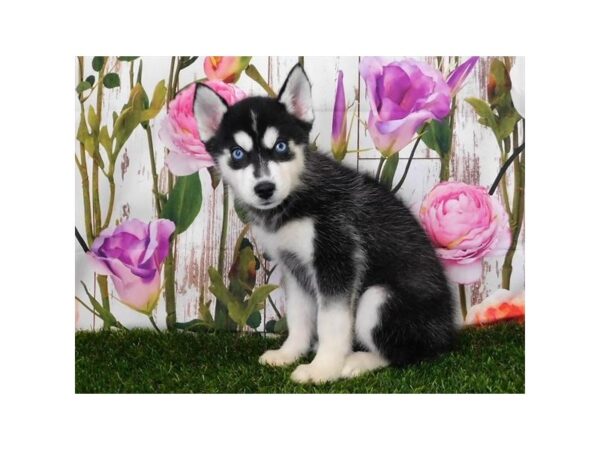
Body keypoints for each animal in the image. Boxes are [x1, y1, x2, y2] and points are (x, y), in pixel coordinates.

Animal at [195, 65, 458, 384]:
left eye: (281, 146)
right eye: (237, 153)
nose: (265, 189)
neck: (295, 199)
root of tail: (447, 333)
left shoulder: (337, 257)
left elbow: (331, 322)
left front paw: (323, 368)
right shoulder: (294, 267)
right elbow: (299, 316)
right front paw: (289, 353)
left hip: (378, 298)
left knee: (404, 353)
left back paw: (356, 361)